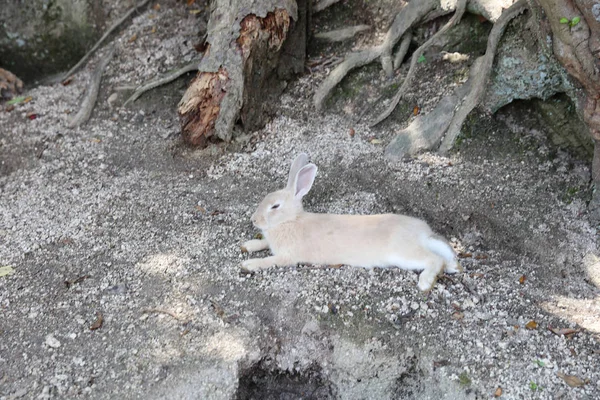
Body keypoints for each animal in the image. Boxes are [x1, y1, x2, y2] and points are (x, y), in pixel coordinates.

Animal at [241, 153, 462, 290]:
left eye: (275, 206)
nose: (254, 220)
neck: (291, 220)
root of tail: (423, 233)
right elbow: (262, 242)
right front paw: (247, 246)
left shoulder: (287, 256)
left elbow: (269, 261)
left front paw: (248, 264)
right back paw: (453, 267)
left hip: (404, 253)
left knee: (434, 259)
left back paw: (425, 283)